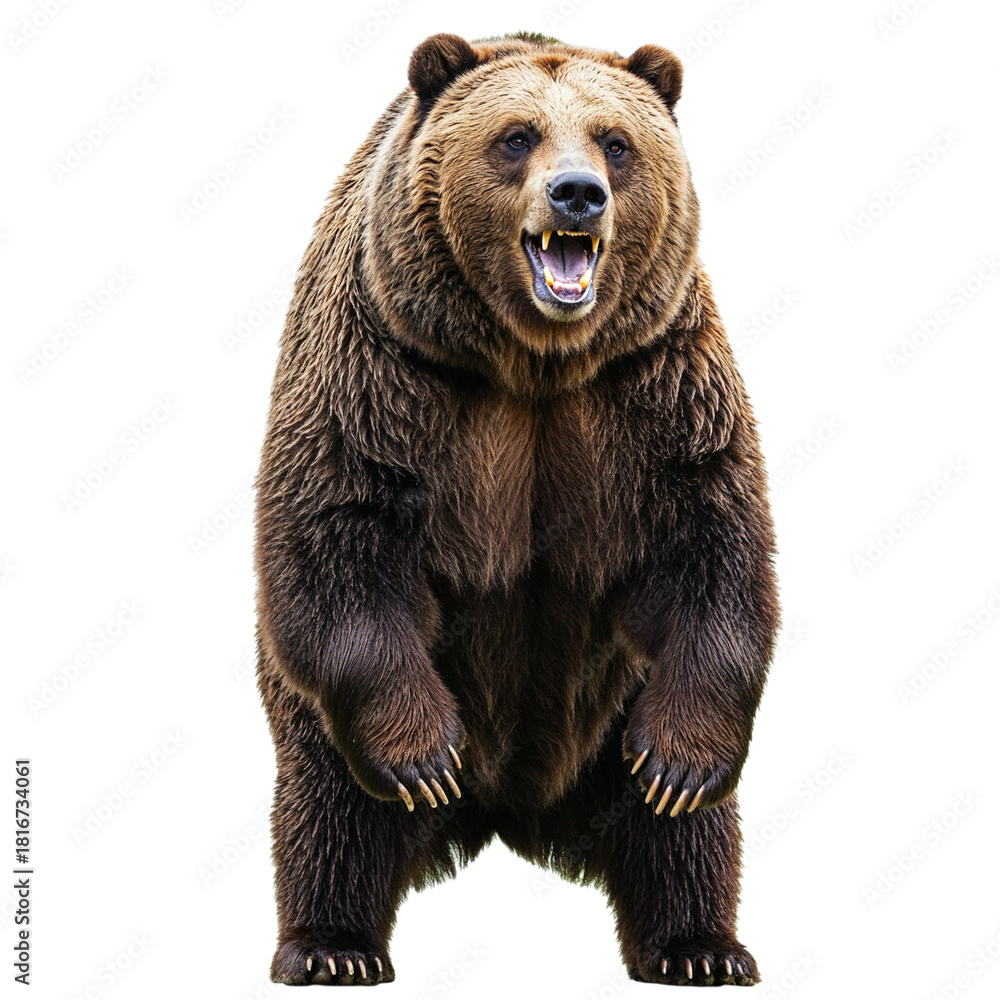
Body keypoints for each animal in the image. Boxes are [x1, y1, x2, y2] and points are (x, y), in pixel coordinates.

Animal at [254, 31, 779, 988]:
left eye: (615, 141)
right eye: (517, 136)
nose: (578, 193)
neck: (535, 361)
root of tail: (509, 815)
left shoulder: (656, 381)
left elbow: (712, 540)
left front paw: (681, 767)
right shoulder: (386, 365)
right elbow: (338, 531)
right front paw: (423, 757)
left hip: (614, 718)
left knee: (679, 836)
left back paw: (700, 947)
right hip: (317, 725)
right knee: (332, 809)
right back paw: (331, 946)